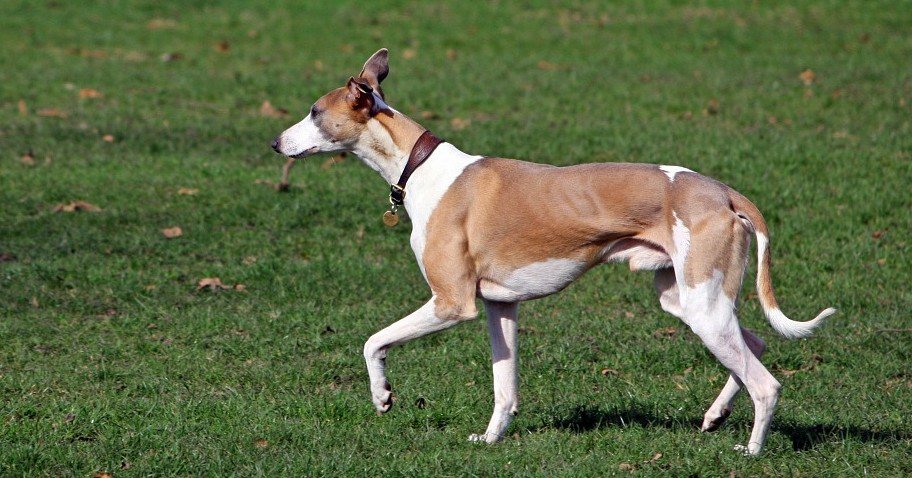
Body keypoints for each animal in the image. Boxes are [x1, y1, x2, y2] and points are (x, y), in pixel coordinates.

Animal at [270, 48, 832, 456]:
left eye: (314, 112)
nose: (275, 143)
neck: (420, 164)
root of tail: (723, 193)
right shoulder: (499, 306)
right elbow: (504, 387)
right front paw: (490, 439)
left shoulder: (452, 303)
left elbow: (373, 342)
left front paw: (383, 396)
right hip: (688, 300)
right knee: (755, 344)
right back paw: (716, 415)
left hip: (703, 307)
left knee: (766, 383)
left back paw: (752, 450)